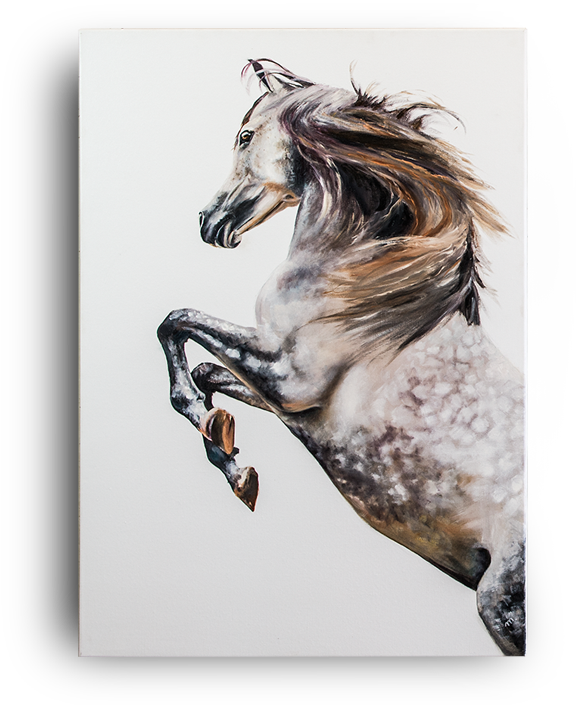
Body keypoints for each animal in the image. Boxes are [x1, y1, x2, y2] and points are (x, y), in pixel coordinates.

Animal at [158, 59, 526, 656]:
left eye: (244, 136)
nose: (208, 222)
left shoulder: (289, 377)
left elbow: (176, 321)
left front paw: (224, 449)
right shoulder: (287, 398)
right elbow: (208, 370)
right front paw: (226, 448)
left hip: (500, 604)